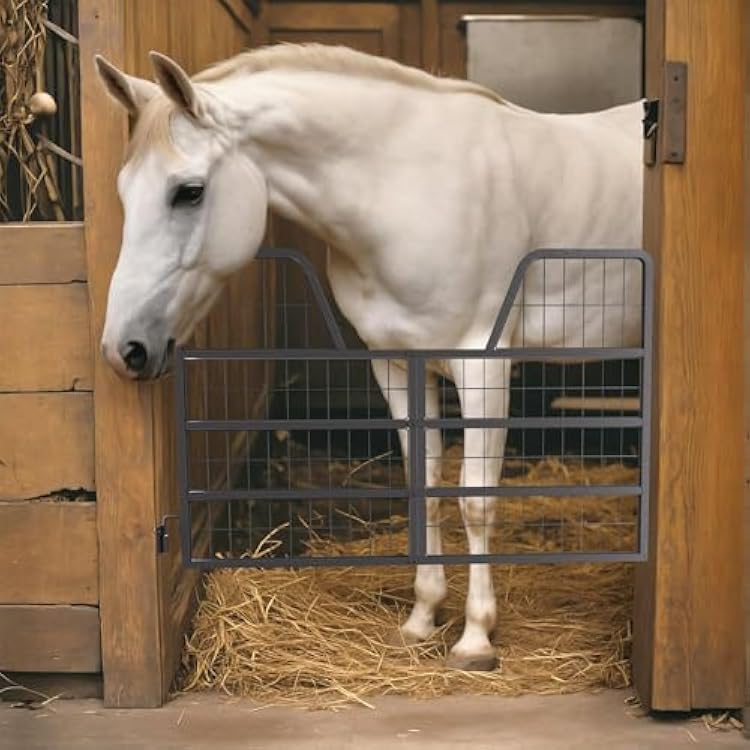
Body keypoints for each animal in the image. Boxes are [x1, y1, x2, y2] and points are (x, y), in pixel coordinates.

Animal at [94, 43, 643, 671]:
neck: (405, 184)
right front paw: (423, 618)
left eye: (188, 191)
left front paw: (475, 639)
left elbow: (475, 500)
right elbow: (422, 479)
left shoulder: (482, 364)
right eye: (125, 192)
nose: (124, 348)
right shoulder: (396, 363)